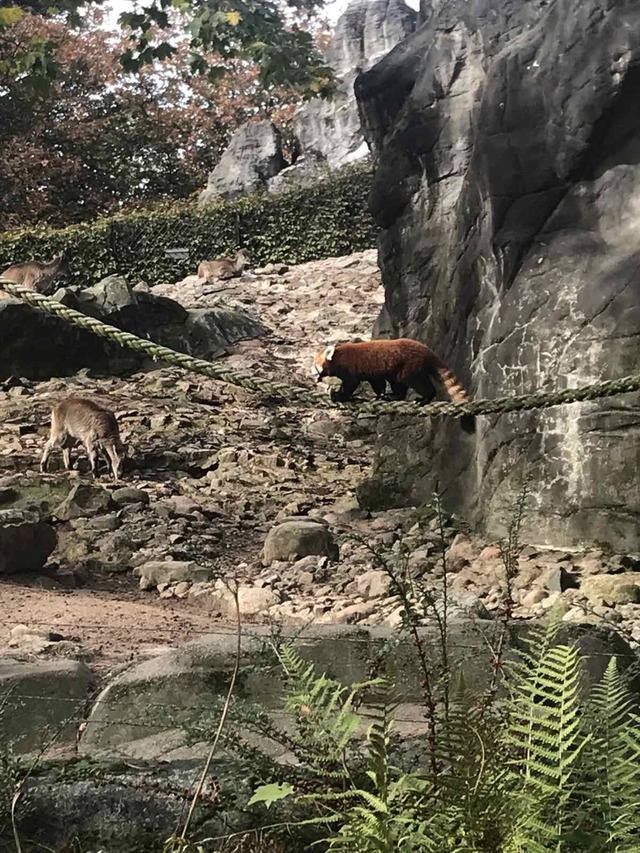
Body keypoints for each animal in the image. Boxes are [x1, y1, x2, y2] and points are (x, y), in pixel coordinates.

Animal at [312, 336, 472, 432]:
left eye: (315, 366)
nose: (312, 374)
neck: (337, 357)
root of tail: (427, 350)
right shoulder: (373, 373)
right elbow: (378, 383)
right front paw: (380, 396)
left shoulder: (350, 369)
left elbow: (351, 384)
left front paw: (337, 395)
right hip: (398, 371)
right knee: (398, 385)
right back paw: (394, 396)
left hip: (410, 366)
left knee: (418, 383)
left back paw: (424, 398)